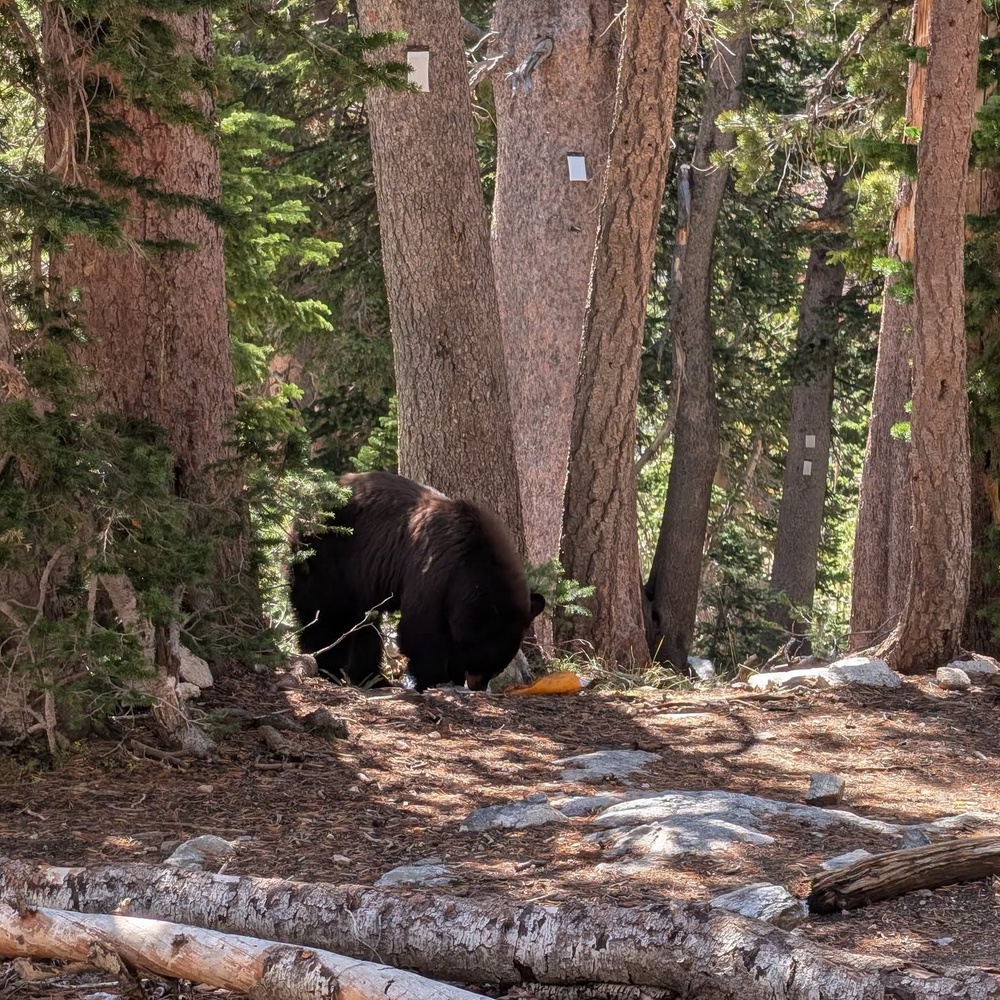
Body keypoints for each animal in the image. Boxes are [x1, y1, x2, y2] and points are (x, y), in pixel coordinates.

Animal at [289, 471, 545, 691]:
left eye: (498, 666)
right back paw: (327, 667)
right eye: (482, 660)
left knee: (366, 624)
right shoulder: (433, 572)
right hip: (325, 557)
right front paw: (433, 679)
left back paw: (373, 678)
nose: (477, 687)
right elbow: (421, 629)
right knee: (326, 613)